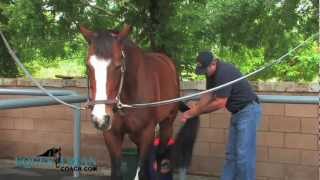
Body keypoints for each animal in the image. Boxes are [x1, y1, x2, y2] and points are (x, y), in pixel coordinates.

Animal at [80, 24, 199, 180]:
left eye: (118, 66)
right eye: (88, 66)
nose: (100, 119)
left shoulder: (147, 132)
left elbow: (140, 171)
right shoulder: (112, 135)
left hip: (166, 126)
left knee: (159, 156)